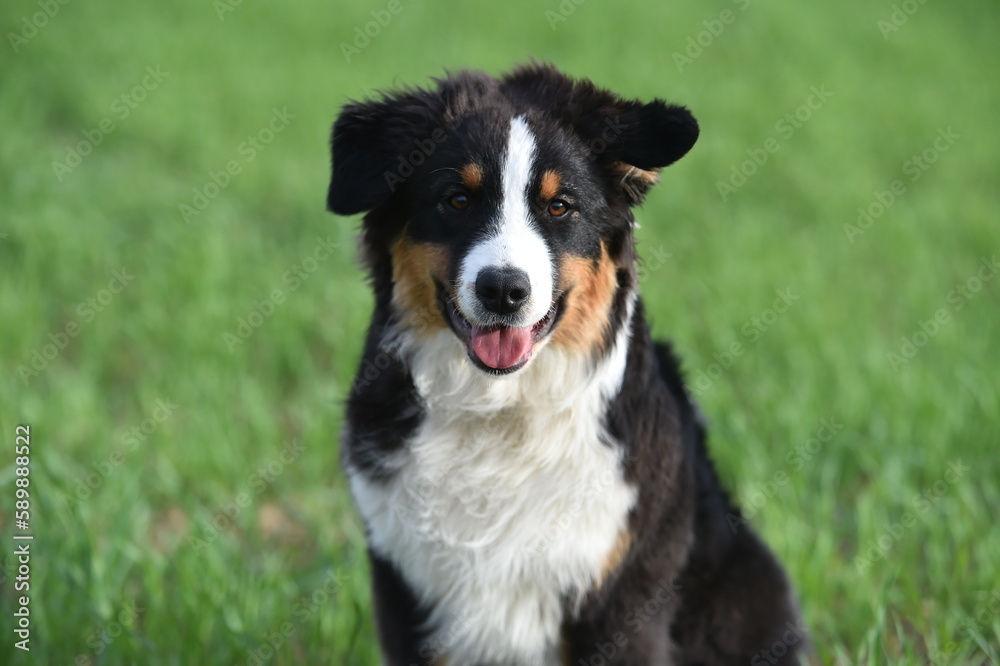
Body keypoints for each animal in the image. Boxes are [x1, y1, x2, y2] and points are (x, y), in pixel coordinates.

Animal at [328, 63, 804, 664]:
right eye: (456, 199)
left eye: (559, 206)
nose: (503, 290)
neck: (500, 413)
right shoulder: (404, 585)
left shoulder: (621, 593)